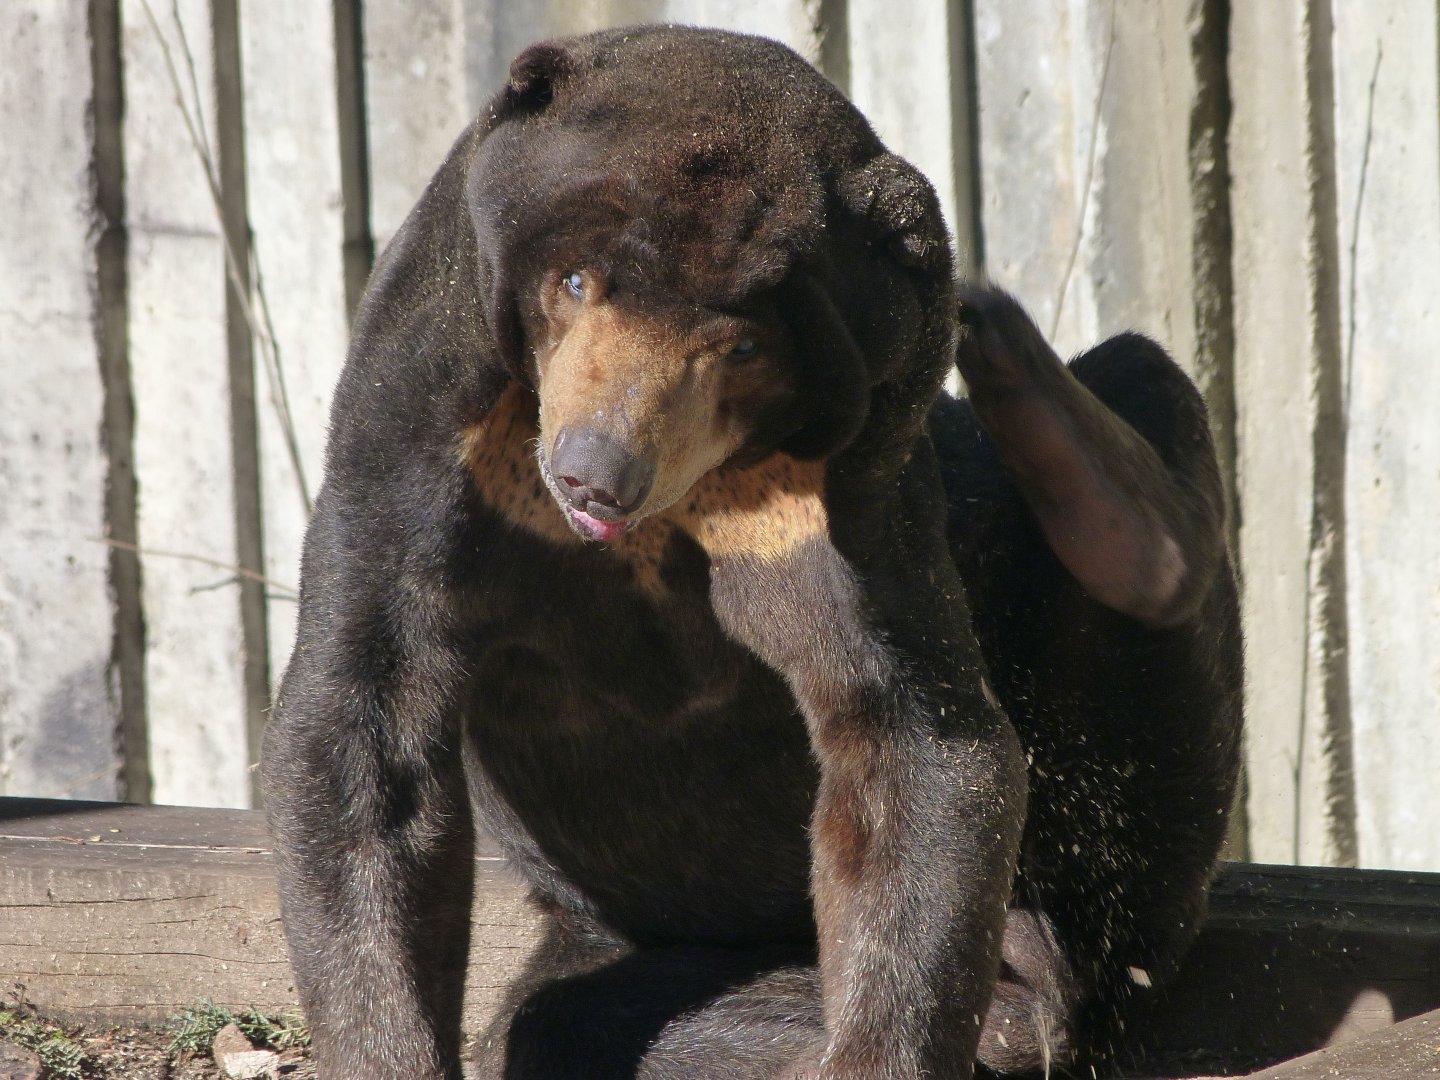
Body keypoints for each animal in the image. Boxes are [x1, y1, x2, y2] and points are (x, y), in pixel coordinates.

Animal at [261, 24, 1242, 1080]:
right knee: (573, 1020)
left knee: (1144, 394)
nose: (595, 474)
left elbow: (907, 731)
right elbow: (368, 727)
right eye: (576, 282)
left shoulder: (852, 478)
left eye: (740, 347)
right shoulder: (419, 407)